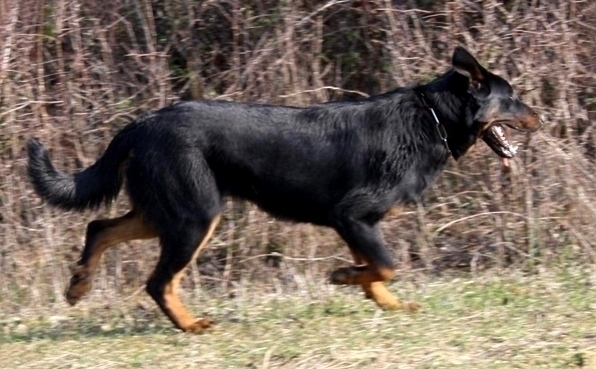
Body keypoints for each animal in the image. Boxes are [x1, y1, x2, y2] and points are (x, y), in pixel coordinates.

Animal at [26, 47, 540, 332]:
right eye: (512, 97)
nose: (540, 118)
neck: (432, 118)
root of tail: (140, 124)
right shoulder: (352, 216)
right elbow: (386, 267)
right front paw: (344, 277)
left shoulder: (356, 225)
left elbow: (379, 273)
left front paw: (386, 302)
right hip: (195, 217)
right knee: (157, 281)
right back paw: (191, 325)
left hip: (167, 212)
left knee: (100, 227)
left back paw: (79, 286)